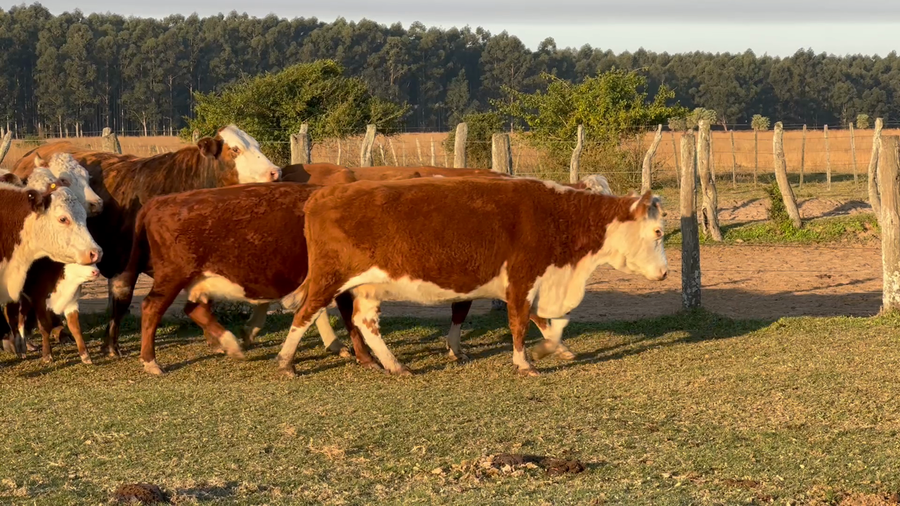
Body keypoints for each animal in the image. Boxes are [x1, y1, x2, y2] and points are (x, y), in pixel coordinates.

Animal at [12, 125, 282, 358]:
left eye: (257, 145)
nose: (275, 172)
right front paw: (111, 346)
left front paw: (217, 340)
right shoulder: (124, 264)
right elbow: (121, 302)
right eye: (235, 149)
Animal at [117, 183, 374, 375]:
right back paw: (151, 362)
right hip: (172, 276)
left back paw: (231, 345)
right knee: (152, 308)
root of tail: (158, 202)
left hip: (195, 279)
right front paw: (365, 356)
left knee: (193, 309)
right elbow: (348, 319)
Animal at [274, 177, 668, 377]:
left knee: (365, 322)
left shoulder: (527, 283)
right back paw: (286, 362)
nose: (665, 272)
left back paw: (395, 365)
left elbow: (546, 322)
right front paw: (525, 362)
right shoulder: (523, 278)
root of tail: (322, 194)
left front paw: (553, 349)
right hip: (329, 277)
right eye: (659, 231)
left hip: (369, 285)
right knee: (304, 314)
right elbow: (520, 322)